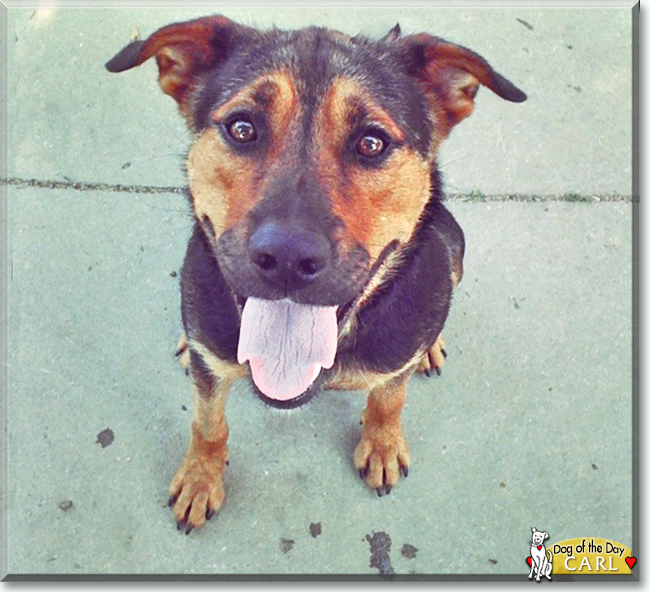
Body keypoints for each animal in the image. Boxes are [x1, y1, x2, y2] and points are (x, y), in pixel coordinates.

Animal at [105, 13, 520, 536]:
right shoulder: (211, 364)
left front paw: (382, 443)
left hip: (455, 245)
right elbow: (208, 422)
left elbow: (389, 399)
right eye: (242, 128)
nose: (286, 257)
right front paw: (201, 477)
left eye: (372, 142)